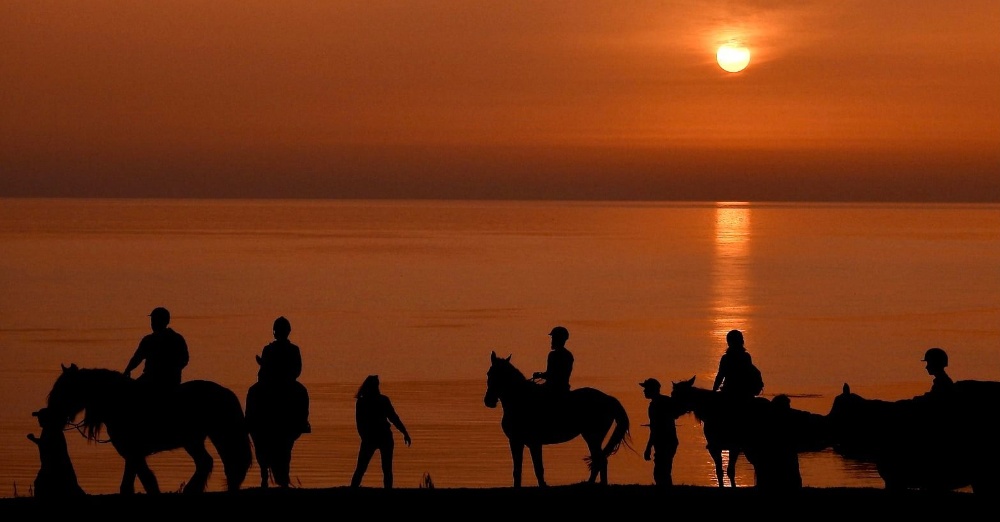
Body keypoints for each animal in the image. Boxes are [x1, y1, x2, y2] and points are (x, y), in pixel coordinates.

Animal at [45, 362, 252, 492]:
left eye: (64, 390)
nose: (51, 417)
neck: (118, 403)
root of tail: (225, 392)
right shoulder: (131, 453)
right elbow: (136, 483)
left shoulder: (133, 453)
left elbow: (141, 482)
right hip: (195, 440)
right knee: (208, 463)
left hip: (216, 436)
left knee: (224, 464)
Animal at [480, 352, 628, 486]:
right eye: (489, 374)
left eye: (499, 375)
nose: (489, 401)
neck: (521, 400)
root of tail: (608, 398)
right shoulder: (515, 441)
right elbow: (517, 470)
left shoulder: (534, 442)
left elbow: (538, 468)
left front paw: (543, 485)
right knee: (600, 460)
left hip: (592, 436)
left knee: (600, 460)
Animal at [676, 374, 832, 488]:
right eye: (674, 393)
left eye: (680, 394)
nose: (674, 409)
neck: (712, 410)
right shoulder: (718, 447)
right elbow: (721, 471)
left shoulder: (731, 446)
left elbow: (729, 470)